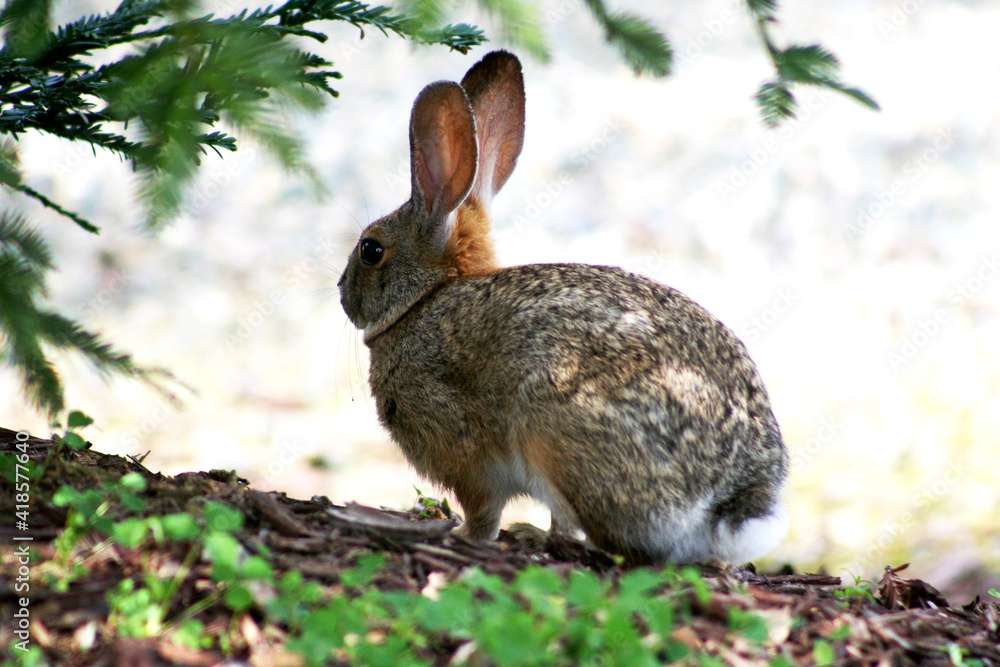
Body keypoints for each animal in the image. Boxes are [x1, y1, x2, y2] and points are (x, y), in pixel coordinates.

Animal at [338, 50, 789, 564]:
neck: (426, 299)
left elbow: (483, 510)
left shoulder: (465, 453)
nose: (341, 291)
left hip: (554, 430)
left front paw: (463, 536)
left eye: (371, 250)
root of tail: (732, 498)